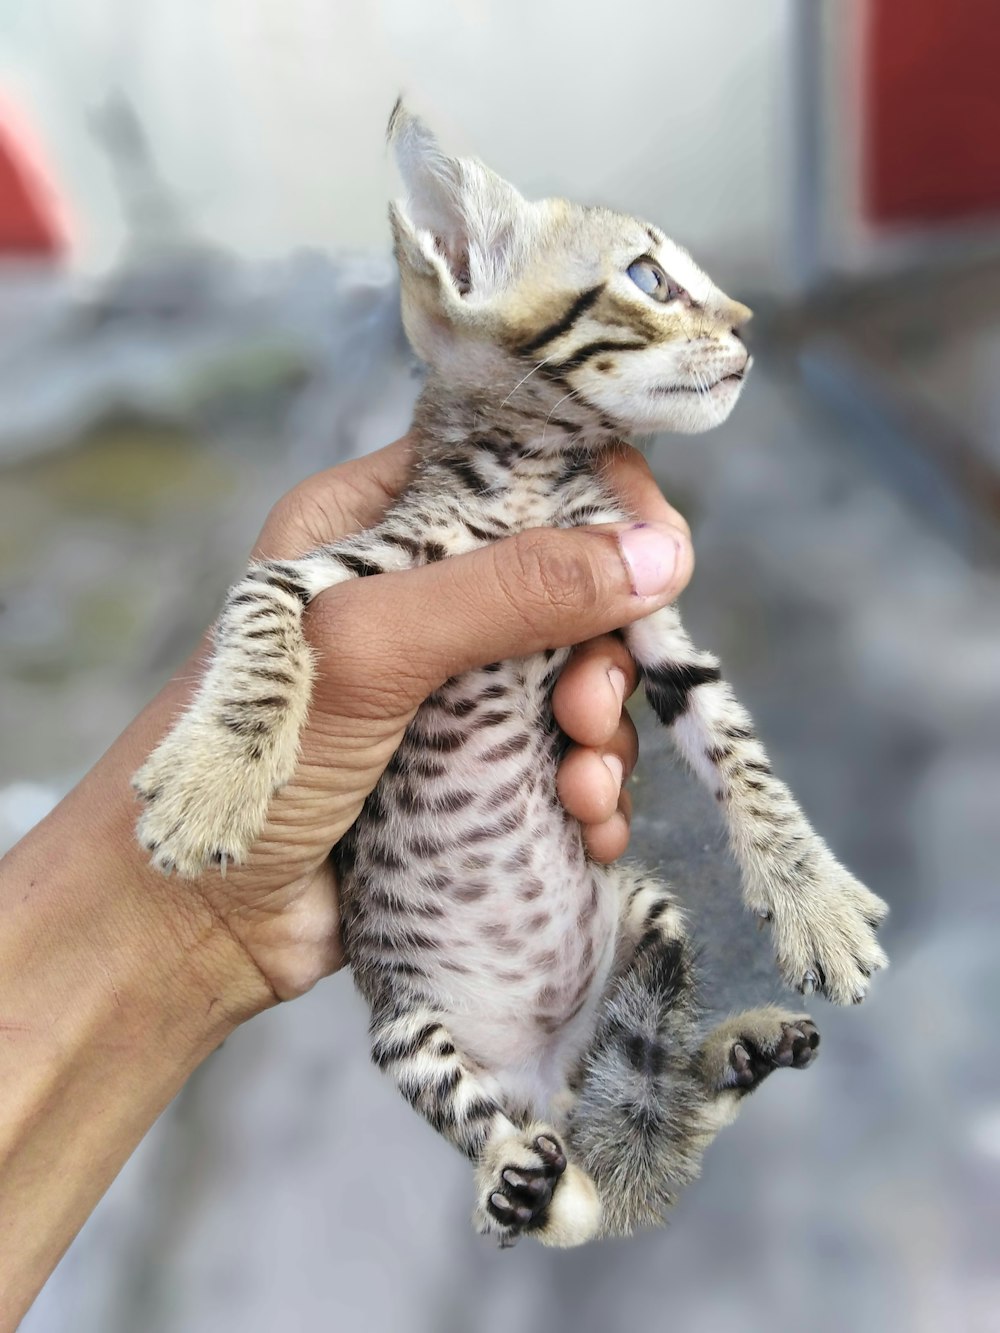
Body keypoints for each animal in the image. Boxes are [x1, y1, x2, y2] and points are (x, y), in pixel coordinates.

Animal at [131, 103, 885, 1247]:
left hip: (645, 910)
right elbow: (261, 619)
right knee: (562, 1194)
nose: (749, 327)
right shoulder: (332, 569)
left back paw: (729, 1052)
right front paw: (212, 779)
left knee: (638, 1103)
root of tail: (545, 1068)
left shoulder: (647, 625)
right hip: (409, 1030)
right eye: (650, 277)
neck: (536, 479)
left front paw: (817, 901)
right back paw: (520, 1179)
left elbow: (739, 752)